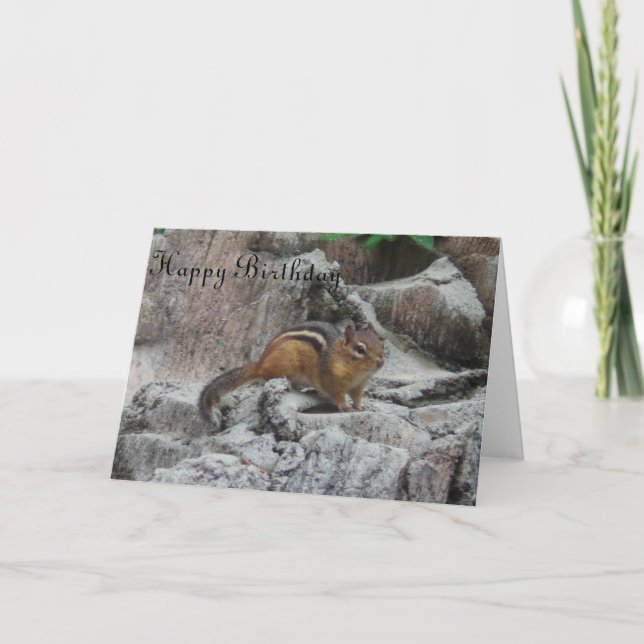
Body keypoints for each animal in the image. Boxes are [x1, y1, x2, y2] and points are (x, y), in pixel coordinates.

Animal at [198, 321, 385, 423]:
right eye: (360, 349)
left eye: (381, 344)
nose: (381, 362)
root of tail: (260, 362)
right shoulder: (331, 380)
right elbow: (337, 395)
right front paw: (346, 407)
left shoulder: (358, 386)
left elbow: (357, 397)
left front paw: (360, 407)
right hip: (285, 362)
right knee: (268, 376)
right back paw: (286, 382)